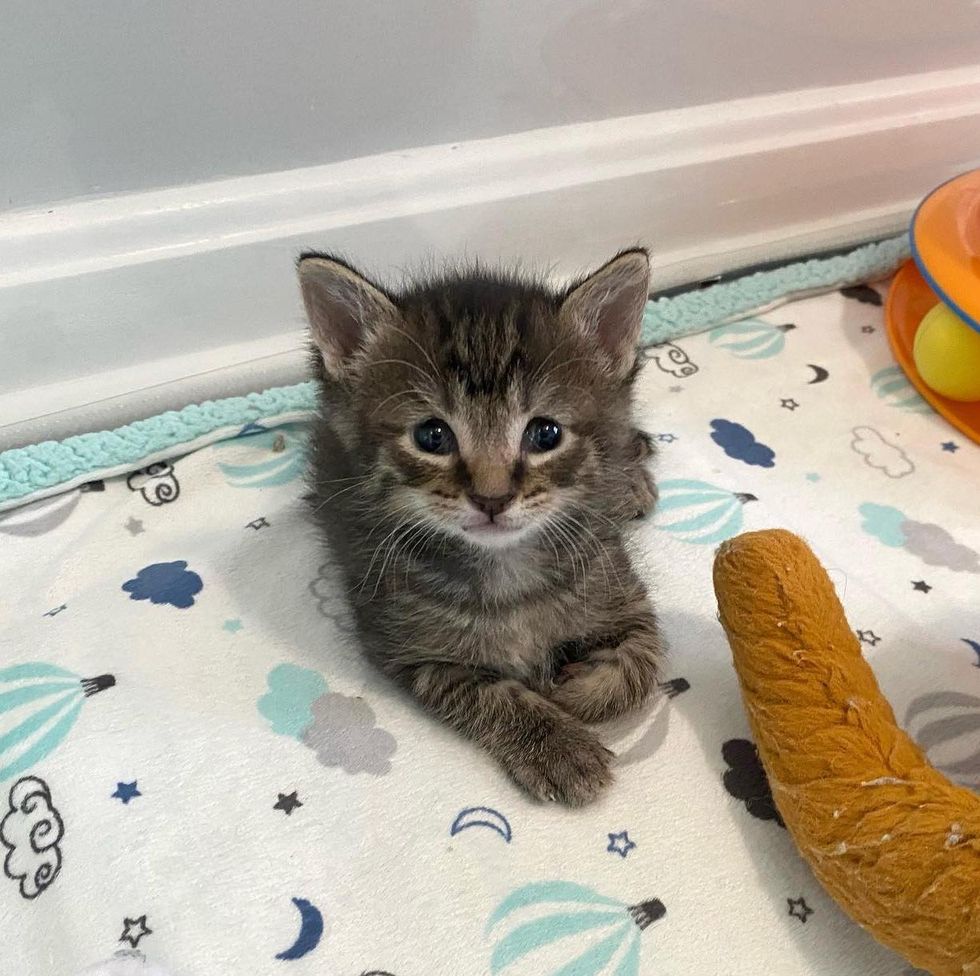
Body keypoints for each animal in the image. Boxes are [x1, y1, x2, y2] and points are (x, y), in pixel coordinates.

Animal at [300, 248, 668, 804]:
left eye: (546, 433)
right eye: (432, 436)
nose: (492, 498)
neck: (506, 566)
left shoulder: (622, 592)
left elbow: (641, 665)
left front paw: (576, 694)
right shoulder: (414, 651)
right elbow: (491, 696)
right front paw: (559, 748)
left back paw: (632, 480)